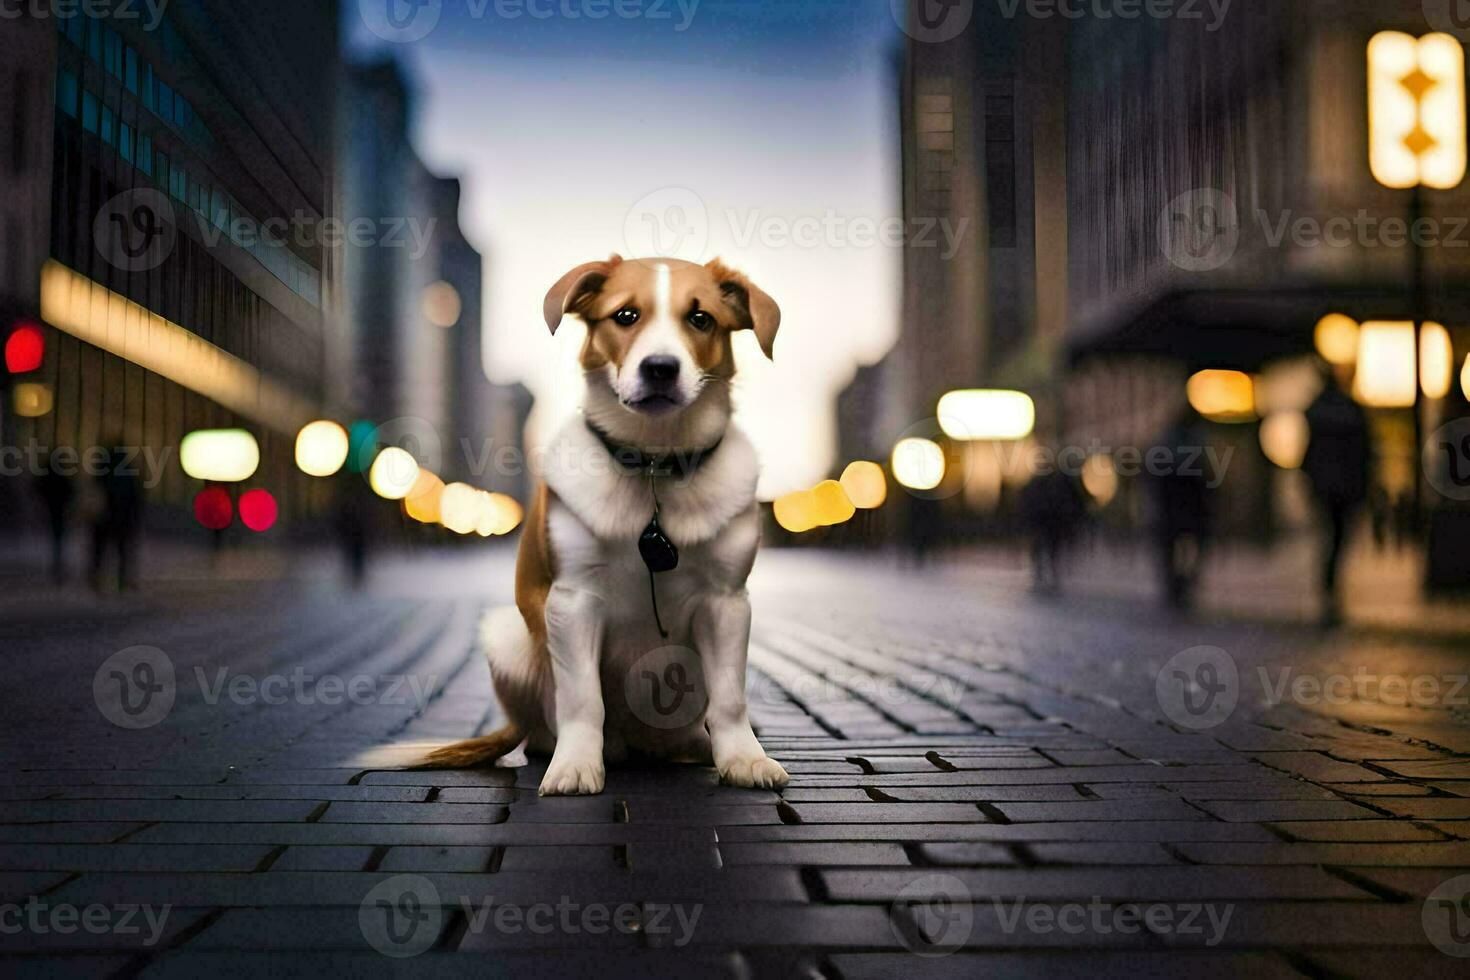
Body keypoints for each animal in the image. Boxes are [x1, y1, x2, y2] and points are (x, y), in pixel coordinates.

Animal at [423, 255, 793, 799]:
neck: (655, 464)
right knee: (547, 730)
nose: (660, 367)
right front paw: (576, 766)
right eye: (625, 315)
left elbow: (730, 696)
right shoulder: (573, 601)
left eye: (700, 319)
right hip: (506, 635)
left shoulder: (726, 603)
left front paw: (744, 759)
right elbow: (582, 699)